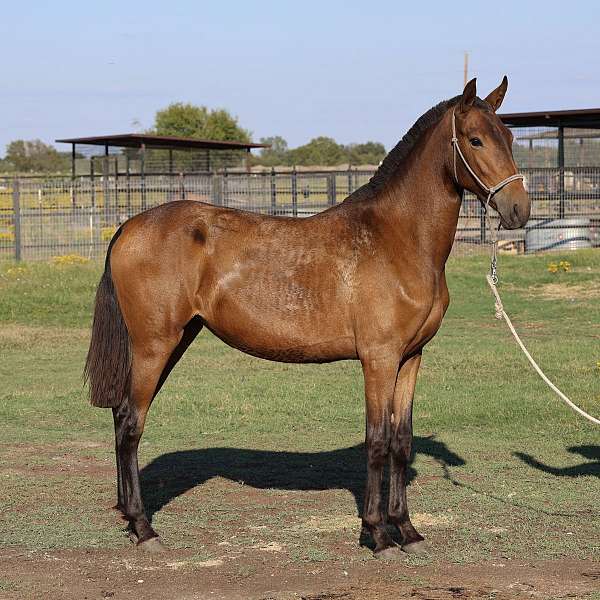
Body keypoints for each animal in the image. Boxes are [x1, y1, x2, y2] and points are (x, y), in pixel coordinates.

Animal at [84, 77, 528, 560]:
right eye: (475, 139)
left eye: (509, 137)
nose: (519, 210)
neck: (396, 239)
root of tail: (129, 227)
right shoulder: (379, 359)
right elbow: (377, 442)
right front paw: (377, 535)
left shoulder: (411, 357)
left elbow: (401, 442)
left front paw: (407, 530)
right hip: (153, 345)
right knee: (131, 424)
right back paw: (144, 528)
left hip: (175, 341)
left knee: (121, 416)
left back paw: (129, 516)